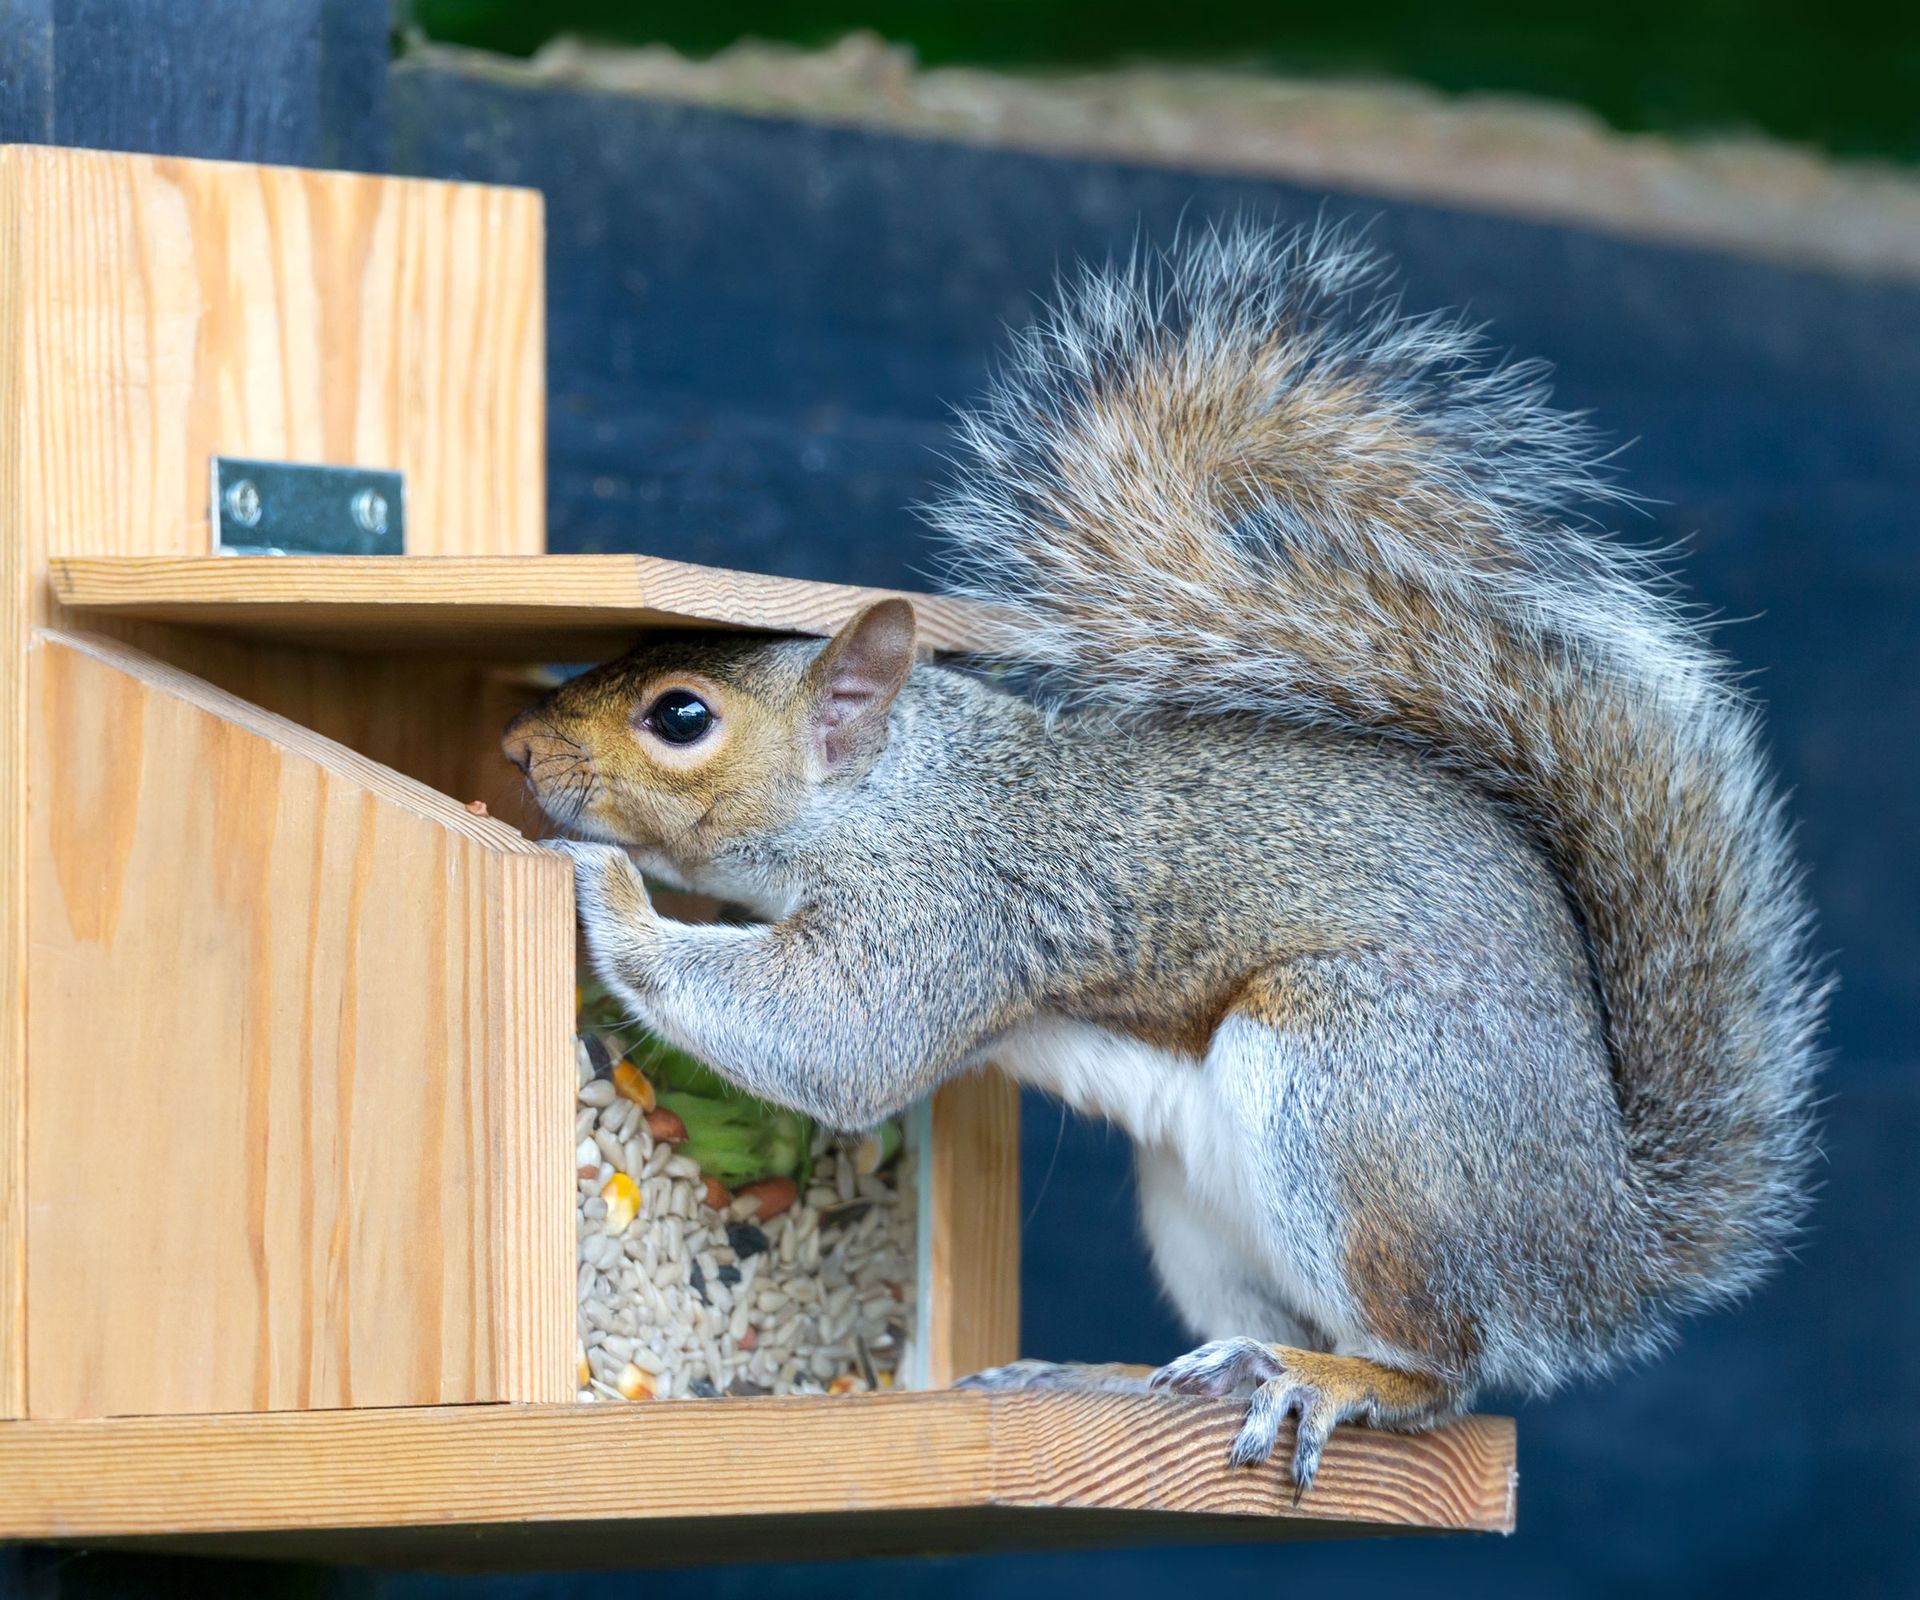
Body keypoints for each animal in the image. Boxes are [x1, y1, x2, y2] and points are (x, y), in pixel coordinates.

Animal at [503, 223, 1824, 1492]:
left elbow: (838, 1042)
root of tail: (1599, 1244)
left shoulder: (949, 908)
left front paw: (602, 883)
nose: (515, 747)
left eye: (681, 715)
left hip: (1363, 1094)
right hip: (1202, 1205)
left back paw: (1336, 1381)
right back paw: (1138, 1371)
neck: (895, 791)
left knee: (1440, 1368)